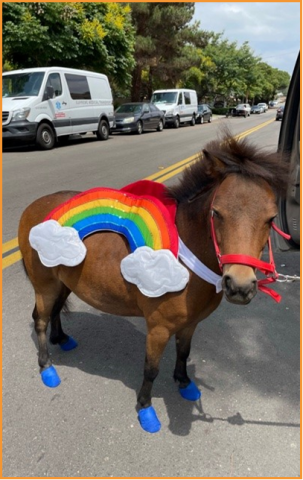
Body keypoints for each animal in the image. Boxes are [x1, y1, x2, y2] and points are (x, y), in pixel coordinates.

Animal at [18, 133, 290, 434]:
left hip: (63, 282)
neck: (188, 261)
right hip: (44, 285)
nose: (239, 286)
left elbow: (184, 352)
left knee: (55, 311)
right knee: (40, 320)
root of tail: (32, 208)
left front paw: (184, 383)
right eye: (217, 213)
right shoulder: (158, 329)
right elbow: (151, 369)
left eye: (270, 219)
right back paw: (47, 368)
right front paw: (146, 409)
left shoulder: (190, 324)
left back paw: (61, 339)